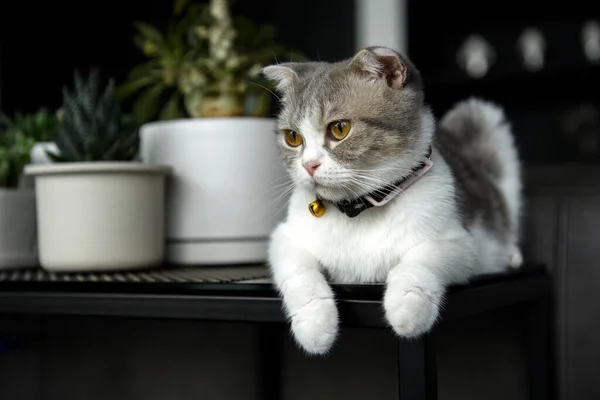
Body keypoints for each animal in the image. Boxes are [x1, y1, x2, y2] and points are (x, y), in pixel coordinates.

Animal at [262, 45, 520, 354]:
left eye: (339, 128)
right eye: (292, 137)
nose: (309, 165)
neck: (359, 212)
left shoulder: (462, 244)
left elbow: (421, 259)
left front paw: (408, 306)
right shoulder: (285, 238)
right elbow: (298, 273)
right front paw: (314, 323)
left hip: (483, 119)